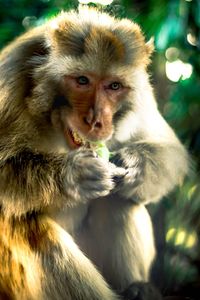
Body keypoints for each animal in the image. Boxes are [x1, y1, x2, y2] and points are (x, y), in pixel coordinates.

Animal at [0, 7, 189, 300]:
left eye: (114, 86)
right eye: (82, 81)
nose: (96, 121)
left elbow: (171, 149)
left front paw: (135, 165)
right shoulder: (11, 80)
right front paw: (74, 176)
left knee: (118, 199)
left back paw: (137, 288)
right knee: (27, 226)